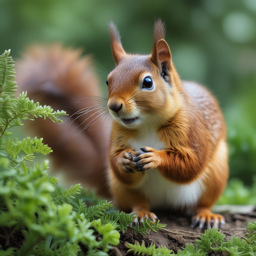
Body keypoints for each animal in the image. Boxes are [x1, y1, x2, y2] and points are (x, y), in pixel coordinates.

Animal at [106, 20, 228, 228]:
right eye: (108, 80)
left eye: (148, 82)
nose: (114, 106)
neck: (147, 124)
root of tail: (167, 204)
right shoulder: (117, 133)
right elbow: (116, 162)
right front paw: (122, 159)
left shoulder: (192, 128)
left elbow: (192, 163)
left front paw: (156, 157)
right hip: (121, 188)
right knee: (137, 200)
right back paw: (142, 213)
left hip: (215, 175)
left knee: (203, 203)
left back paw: (206, 215)